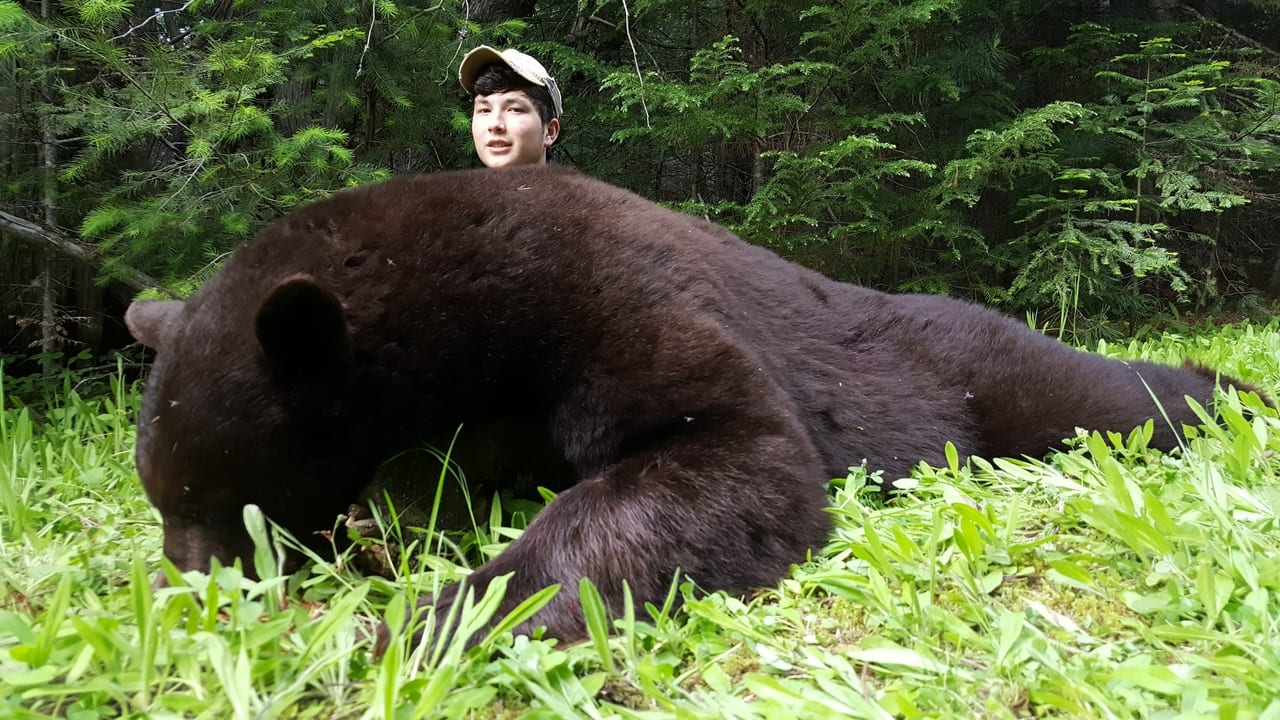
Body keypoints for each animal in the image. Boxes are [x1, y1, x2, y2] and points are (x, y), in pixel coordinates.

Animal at [125, 165, 1259, 650]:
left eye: (216, 501)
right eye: (164, 500)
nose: (190, 588)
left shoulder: (614, 294)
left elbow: (728, 448)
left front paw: (442, 614)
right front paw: (390, 533)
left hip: (980, 375)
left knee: (1106, 392)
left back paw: (1231, 391)